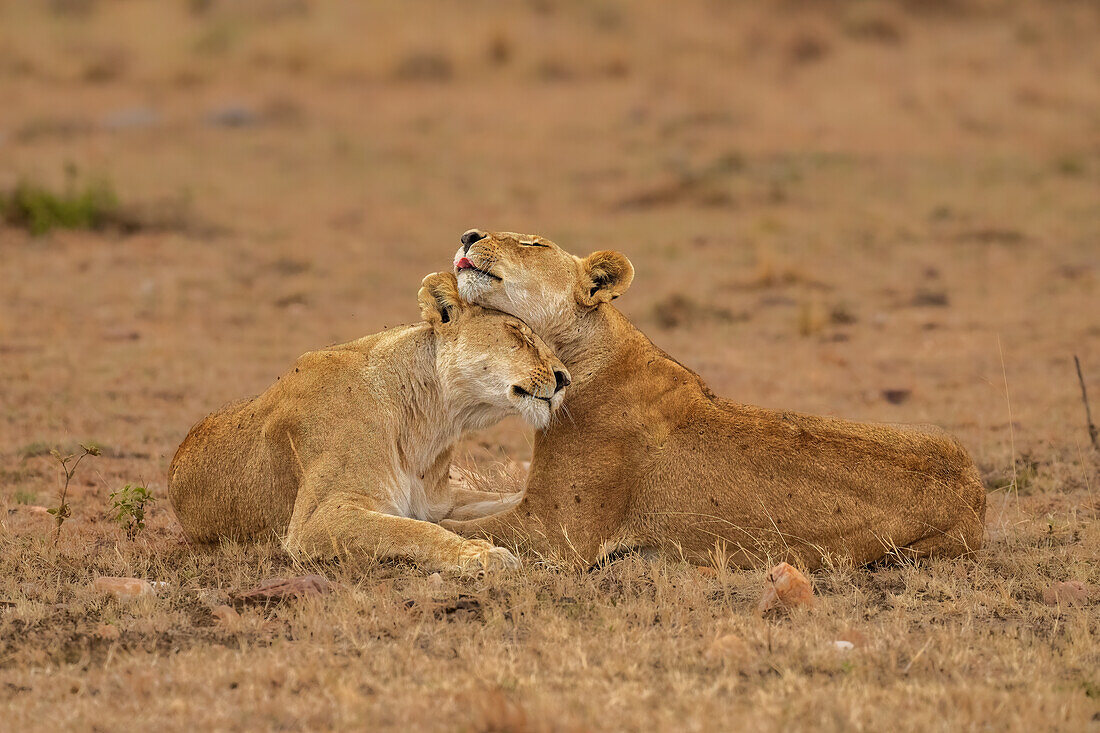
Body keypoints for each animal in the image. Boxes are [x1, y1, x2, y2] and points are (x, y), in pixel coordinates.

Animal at [169, 270, 576, 572]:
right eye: (519, 335)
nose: (564, 379)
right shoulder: (315, 521)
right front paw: (481, 554)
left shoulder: (438, 502)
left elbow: (500, 500)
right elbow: (413, 532)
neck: (432, 421)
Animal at [437, 231, 990, 567]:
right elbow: (463, 510)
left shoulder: (558, 531)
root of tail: (978, 496)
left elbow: (461, 526)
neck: (575, 350)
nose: (467, 236)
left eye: (534, 242)